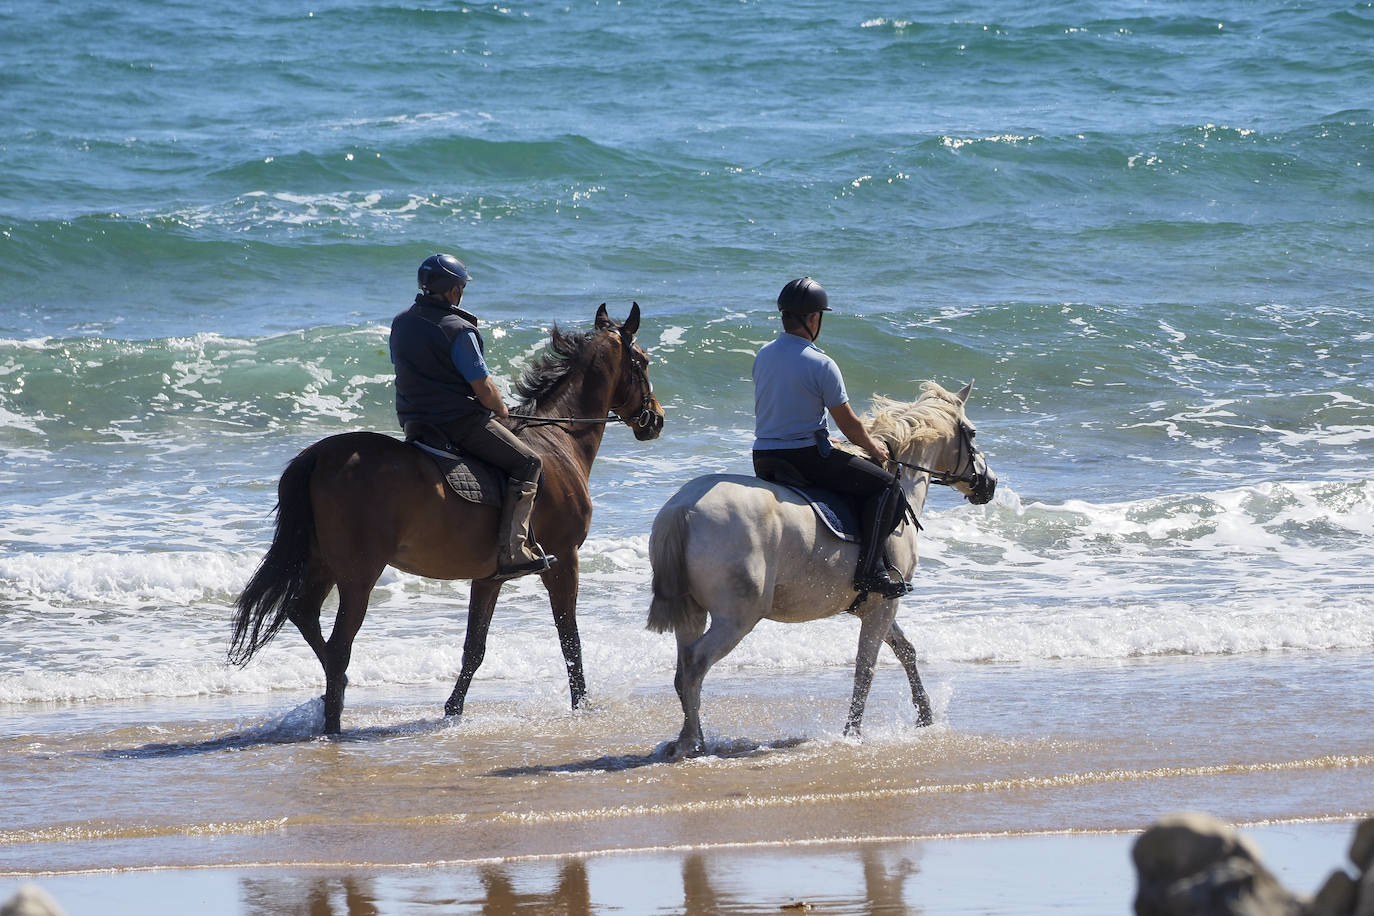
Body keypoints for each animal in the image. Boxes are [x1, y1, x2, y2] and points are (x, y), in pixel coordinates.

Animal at [228, 304, 662, 736]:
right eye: (642, 361)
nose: (655, 419)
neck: (559, 438)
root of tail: (320, 454)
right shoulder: (564, 559)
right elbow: (569, 638)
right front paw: (582, 705)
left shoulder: (489, 578)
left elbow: (475, 648)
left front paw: (453, 710)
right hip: (358, 575)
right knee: (338, 647)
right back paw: (334, 722)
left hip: (321, 563)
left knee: (303, 614)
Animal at [648, 379, 994, 758]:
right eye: (972, 433)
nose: (988, 484)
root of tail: (682, 508)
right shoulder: (884, 604)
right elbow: (866, 667)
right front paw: (853, 733)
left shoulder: (876, 605)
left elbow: (906, 651)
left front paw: (925, 717)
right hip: (736, 618)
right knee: (695, 663)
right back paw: (693, 742)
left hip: (693, 613)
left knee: (683, 666)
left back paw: (685, 738)